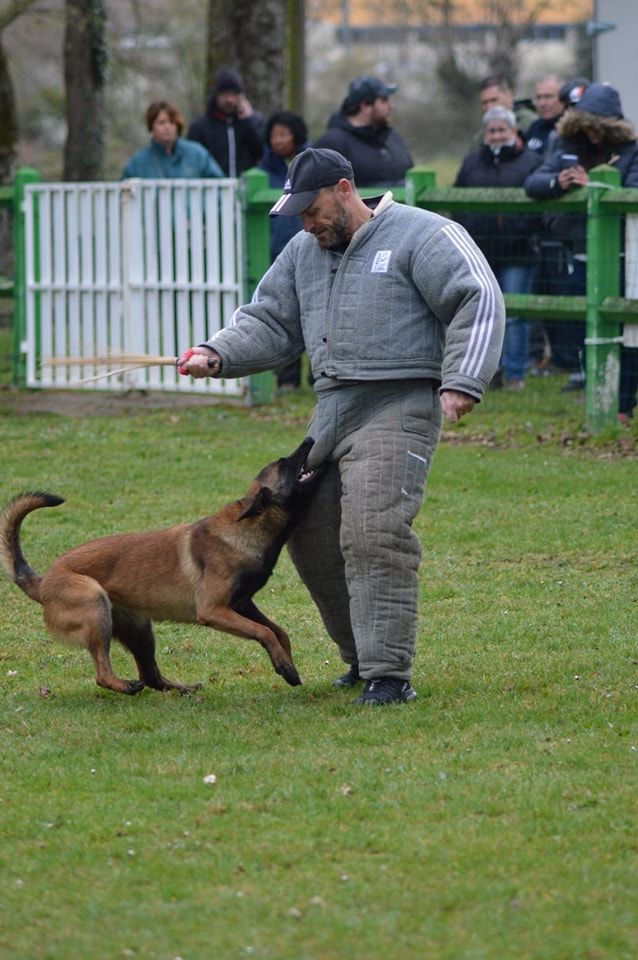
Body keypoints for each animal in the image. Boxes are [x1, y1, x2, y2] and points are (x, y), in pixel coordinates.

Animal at [0, 437, 319, 695]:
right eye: (284, 463)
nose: (309, 439)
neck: (246, 528)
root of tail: (42, 581)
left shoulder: (241, 604)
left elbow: (278, 631)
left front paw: (285, 663)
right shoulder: (214, 610)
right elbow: (264, 632)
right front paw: (284, 666)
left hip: (140, 630)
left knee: (151, 676)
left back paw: (183, 689)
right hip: (95, 606)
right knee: (103, 674)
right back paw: (126, 686)